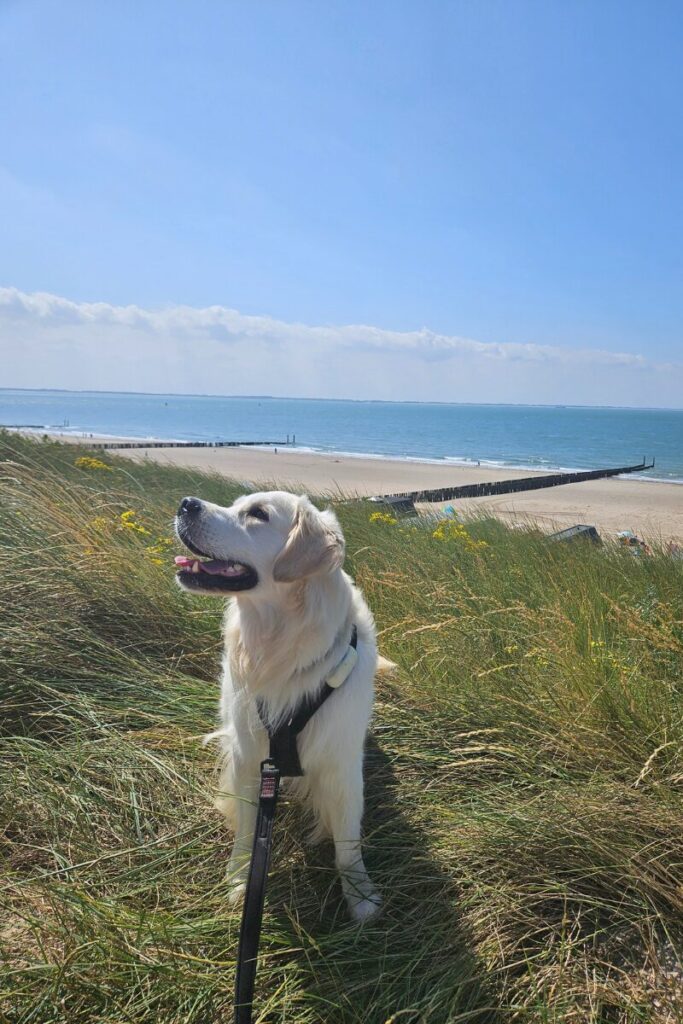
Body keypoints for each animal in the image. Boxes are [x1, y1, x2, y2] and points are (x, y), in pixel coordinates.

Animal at [174, 487, 382, 921]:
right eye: (235, 505)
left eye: (257, 514)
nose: (186, 504)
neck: (280, 648)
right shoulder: (249, 756)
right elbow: (246, 827)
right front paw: (239, 879)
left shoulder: (341, 764)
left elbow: (348, 840)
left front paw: (360, 895)